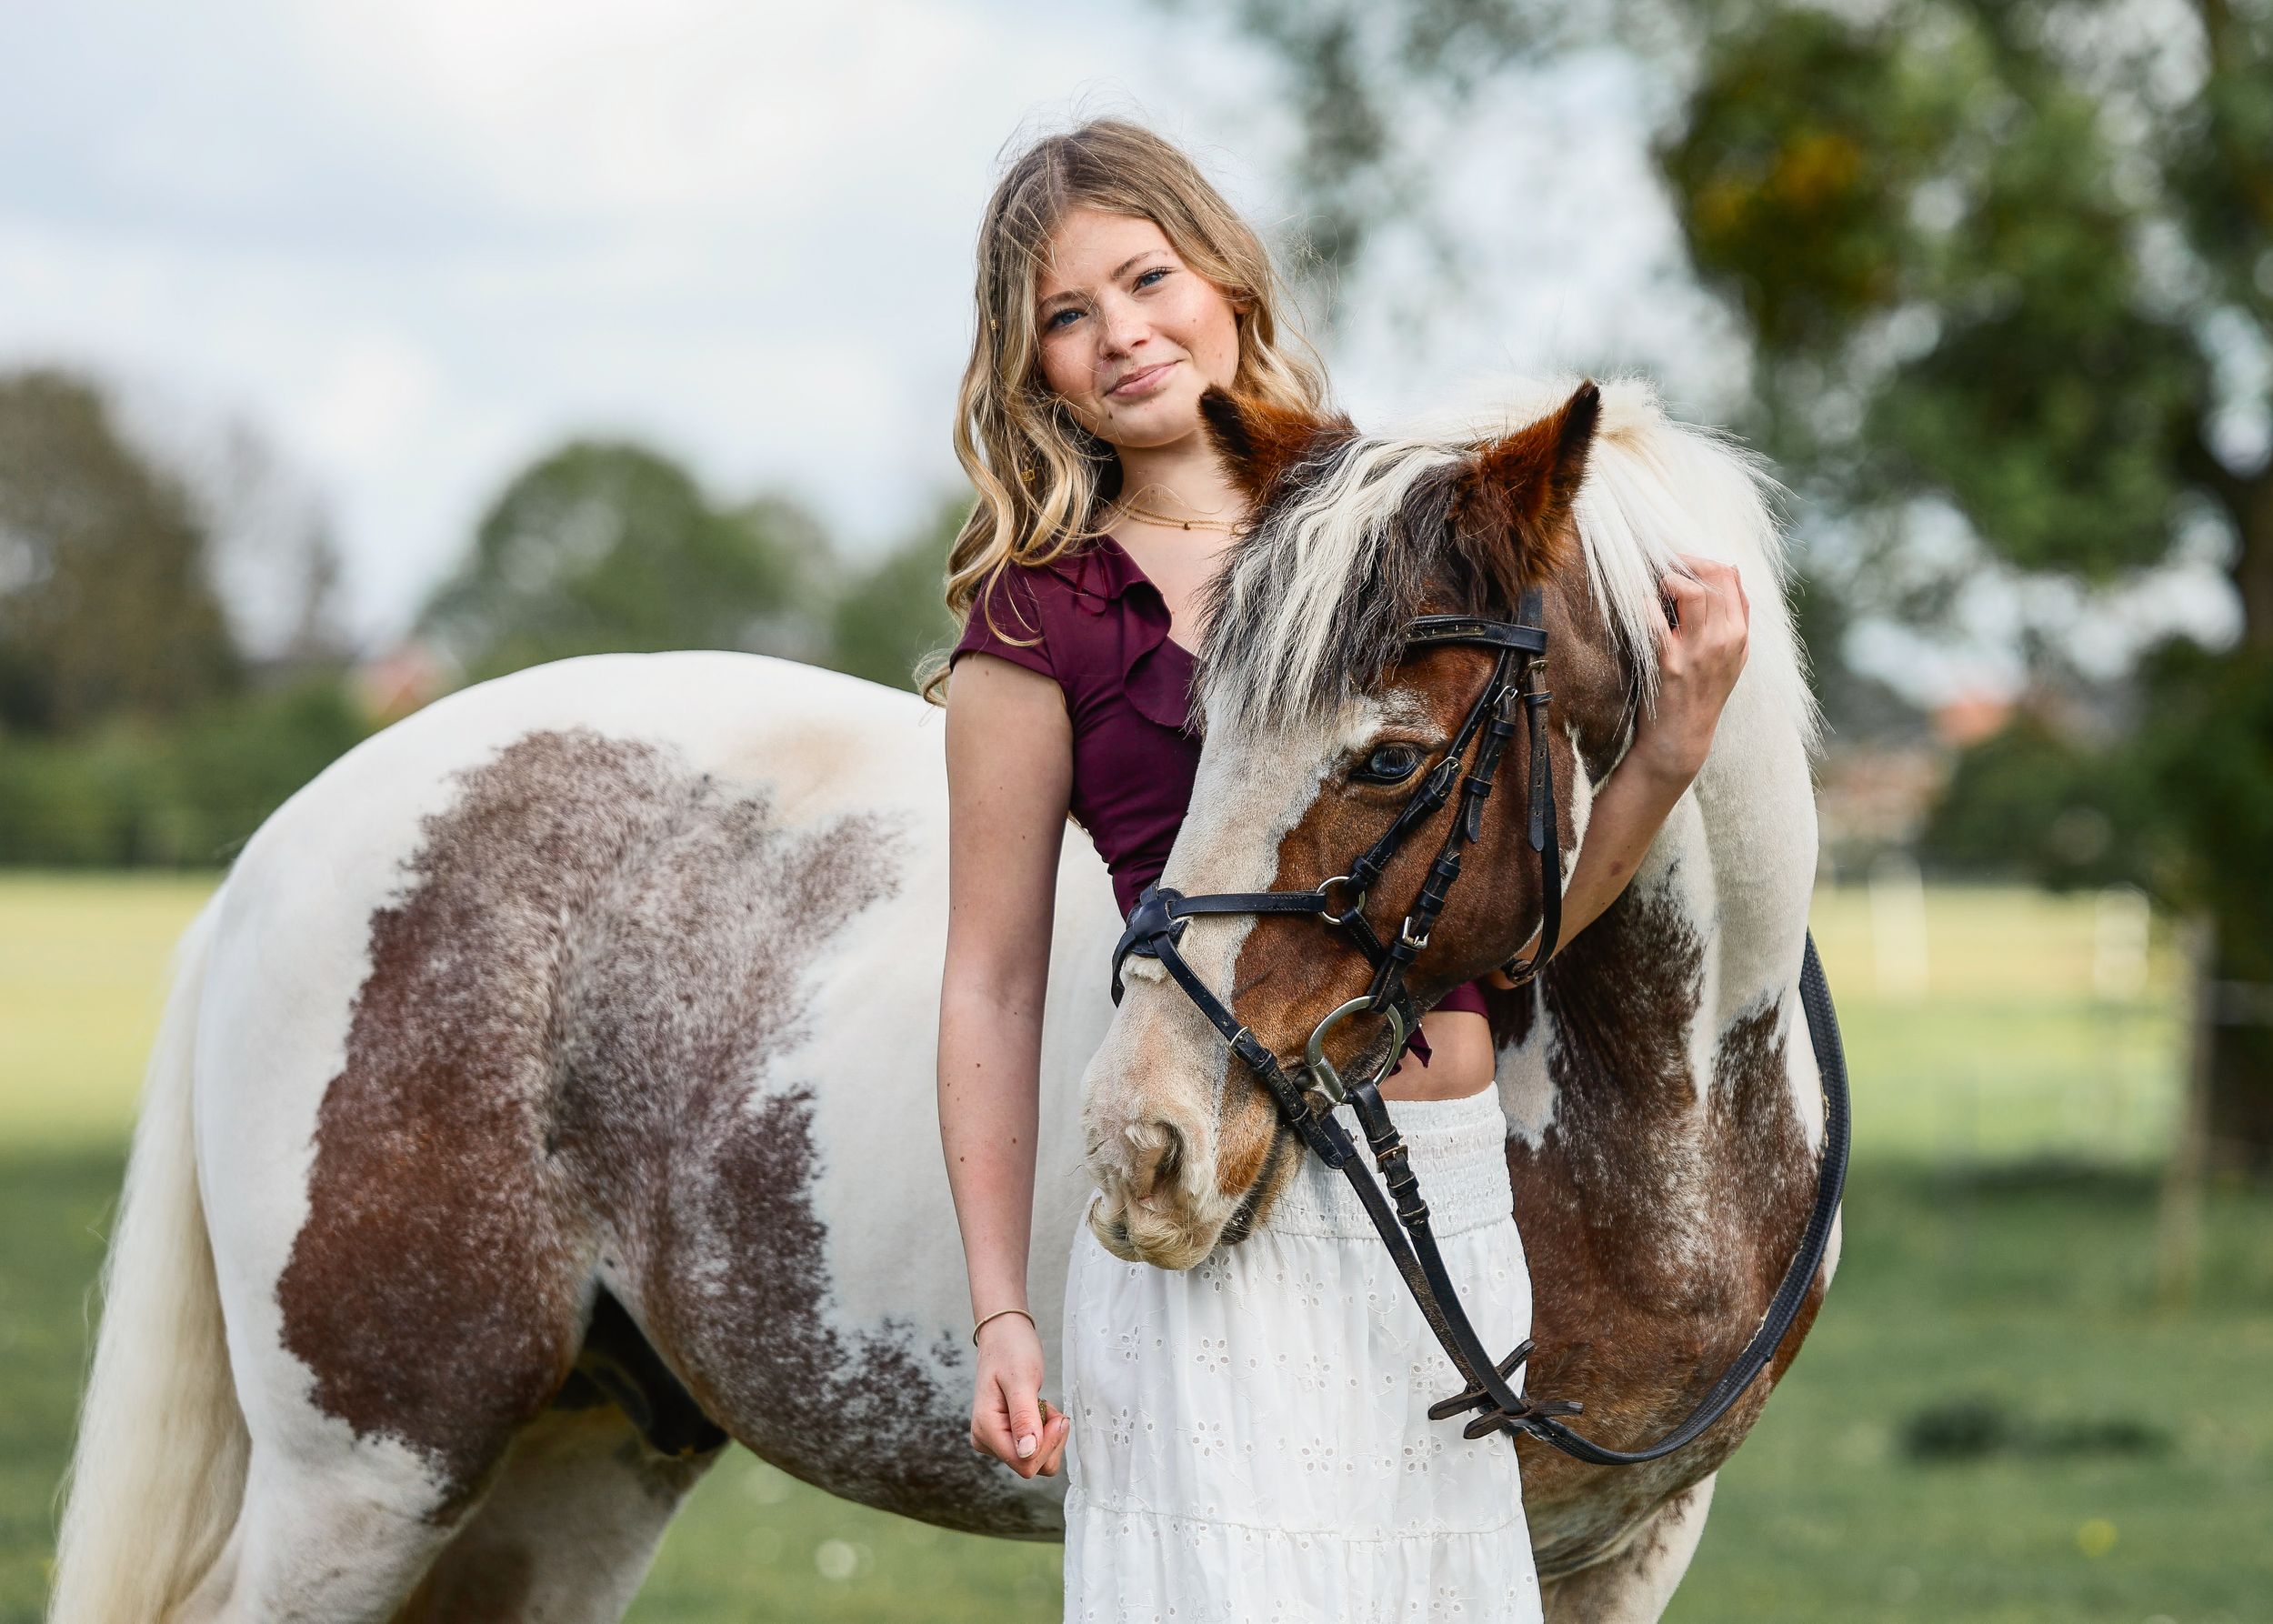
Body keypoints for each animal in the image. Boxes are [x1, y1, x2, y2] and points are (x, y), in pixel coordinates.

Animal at [49, 373, 1833, 1624]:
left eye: (1391, 757)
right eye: (1199, 723)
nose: (1149, 1145)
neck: (1670, 1121)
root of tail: (283, 845)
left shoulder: (1626, 1548)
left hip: (579, 1456)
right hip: (368, 1465)